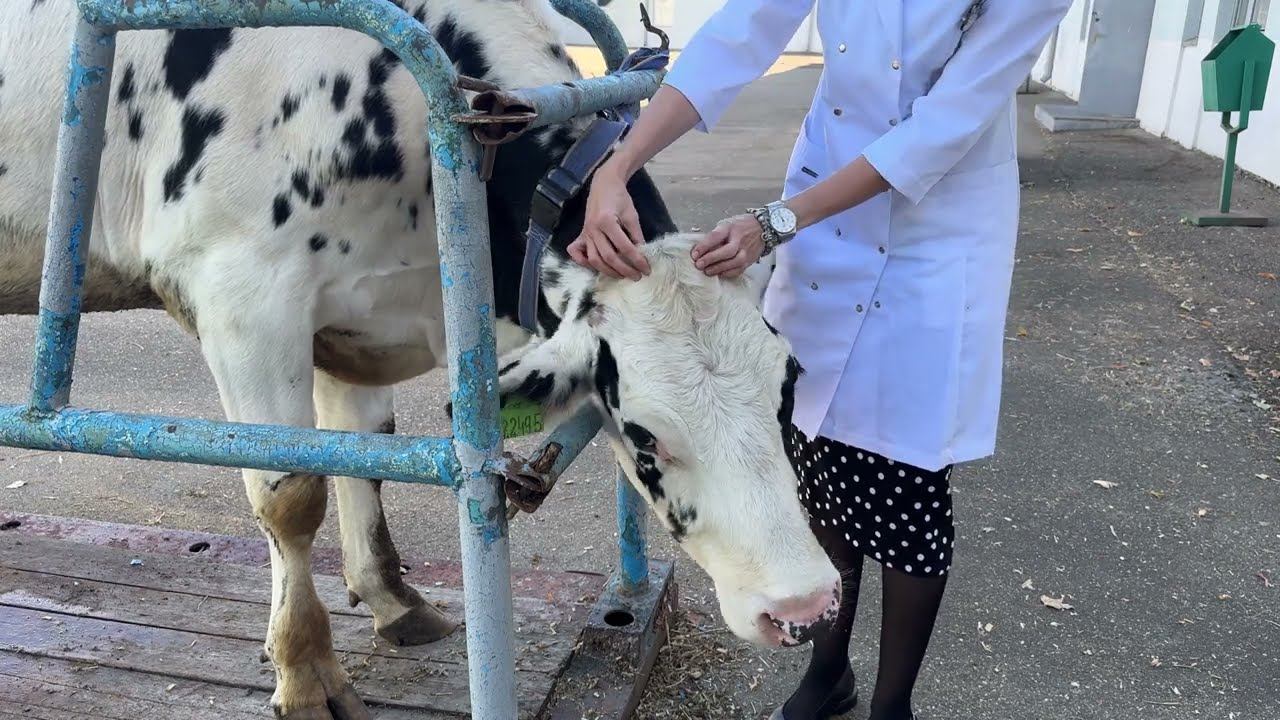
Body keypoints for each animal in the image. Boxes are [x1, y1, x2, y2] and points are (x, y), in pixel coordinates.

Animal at [0, 0, 840, 716]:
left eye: (787, 398)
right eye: (643, 437)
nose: (805, 606)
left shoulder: (354, 310)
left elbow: (362, 452)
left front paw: (391, 600)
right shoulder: (244, 298)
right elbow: (290, 493)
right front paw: (304, 674)